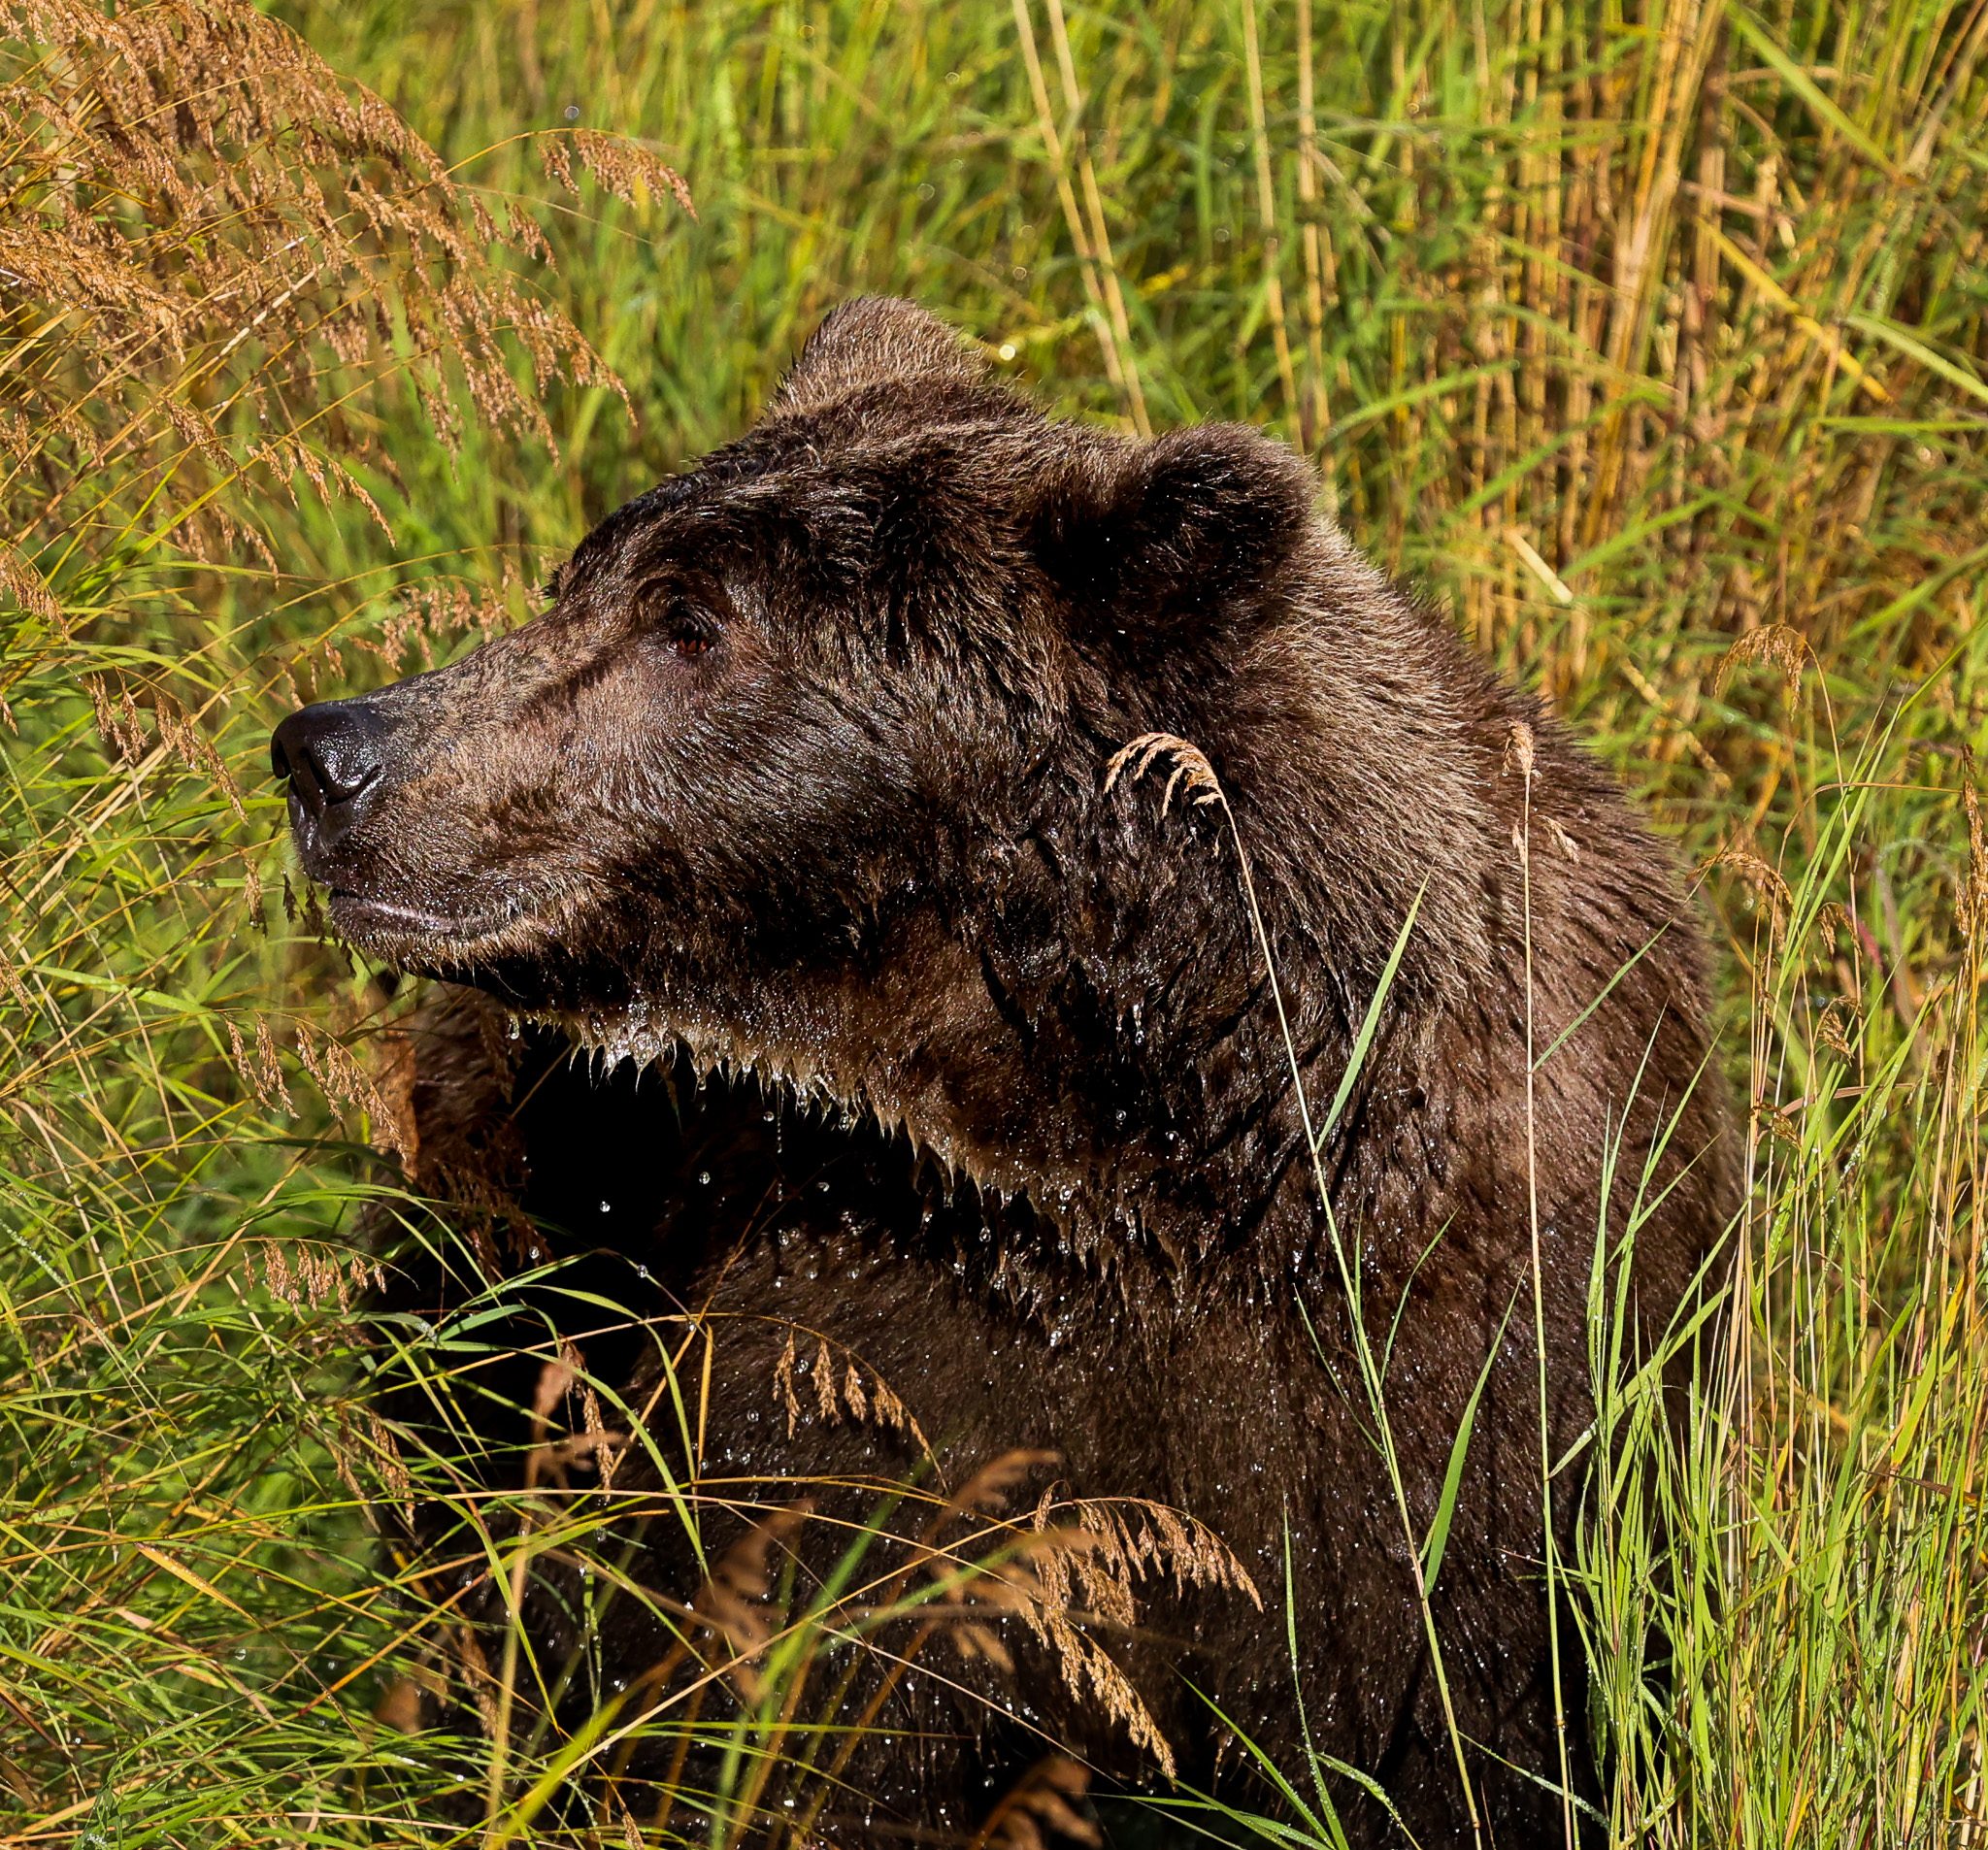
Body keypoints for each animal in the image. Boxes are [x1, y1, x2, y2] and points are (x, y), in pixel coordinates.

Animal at [272, 297, 1735, 1847]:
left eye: (691, 621)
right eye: (579, 579)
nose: (329, 752)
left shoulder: (1481, 1399)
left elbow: (1457, 1730)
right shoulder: (877, 1343)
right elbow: (821, 1699)